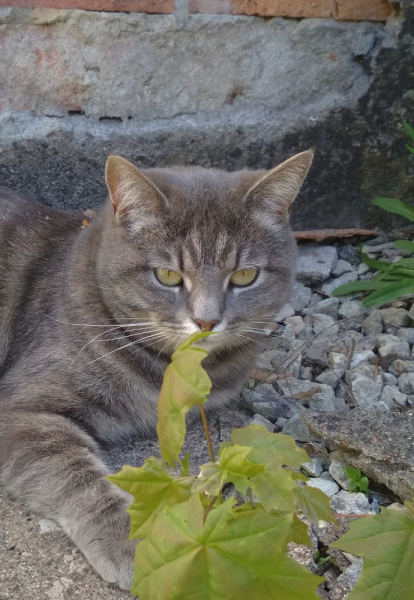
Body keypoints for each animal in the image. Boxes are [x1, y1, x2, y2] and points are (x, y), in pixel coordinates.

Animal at [0, 148, 312, 588]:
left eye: (245, 275)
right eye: (167, 275)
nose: (206, 321)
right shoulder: (21, 409)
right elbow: (77, 475)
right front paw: (135, 542)